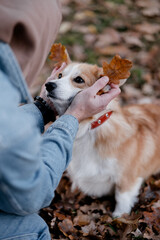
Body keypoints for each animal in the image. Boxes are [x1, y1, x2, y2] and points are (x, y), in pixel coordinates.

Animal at [44, 49, 160, 218]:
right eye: (59, 75)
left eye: (79, 79)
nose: (48, 85)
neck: (90, 128)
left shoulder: (127, 178)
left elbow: (122, 198)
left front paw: (118, 217)